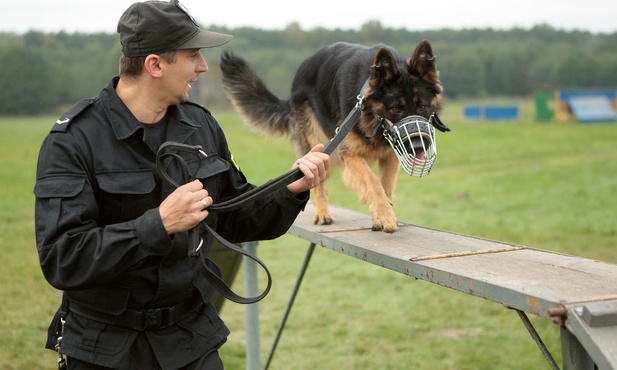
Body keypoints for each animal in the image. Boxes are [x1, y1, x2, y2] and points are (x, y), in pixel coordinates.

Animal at [220, 39, 448, 233]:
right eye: (395, 109)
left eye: (422, 106)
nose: (417, 147)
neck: (366, 109)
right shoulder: (351, 155)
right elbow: (373, 184)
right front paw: (384, 216)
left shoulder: (390, 155)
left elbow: (385, 185)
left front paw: (383, 213)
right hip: (318, 144)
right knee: (317, 181)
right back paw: (322, 213)